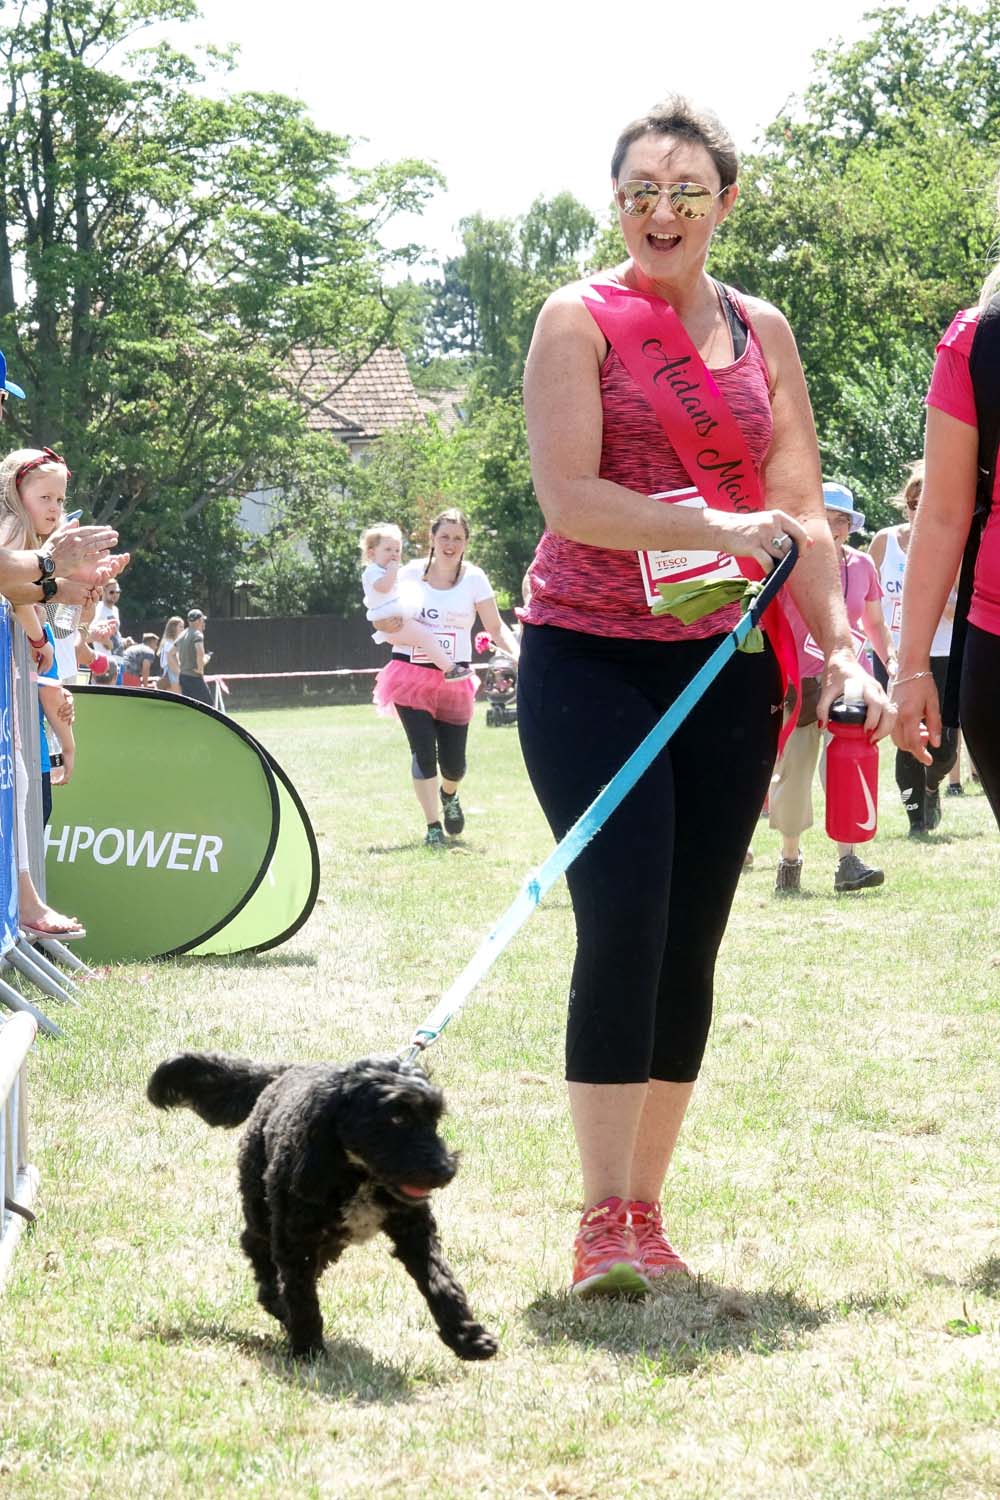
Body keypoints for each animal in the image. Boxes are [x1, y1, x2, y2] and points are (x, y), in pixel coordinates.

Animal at [146, 1056, 497, 1362]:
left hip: (328, 1240)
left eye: (434, 1118)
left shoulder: (415, 1231)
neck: (359, 1174)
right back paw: (276, 1301)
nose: (444, 1170)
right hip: (262, 1206)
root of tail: (287, 1069)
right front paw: (307, 1349)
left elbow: (442, 1282)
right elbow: (302, 1296)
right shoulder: (294, 1239)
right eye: (397, 1117)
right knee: (255, 1247)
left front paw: (469, 1337)